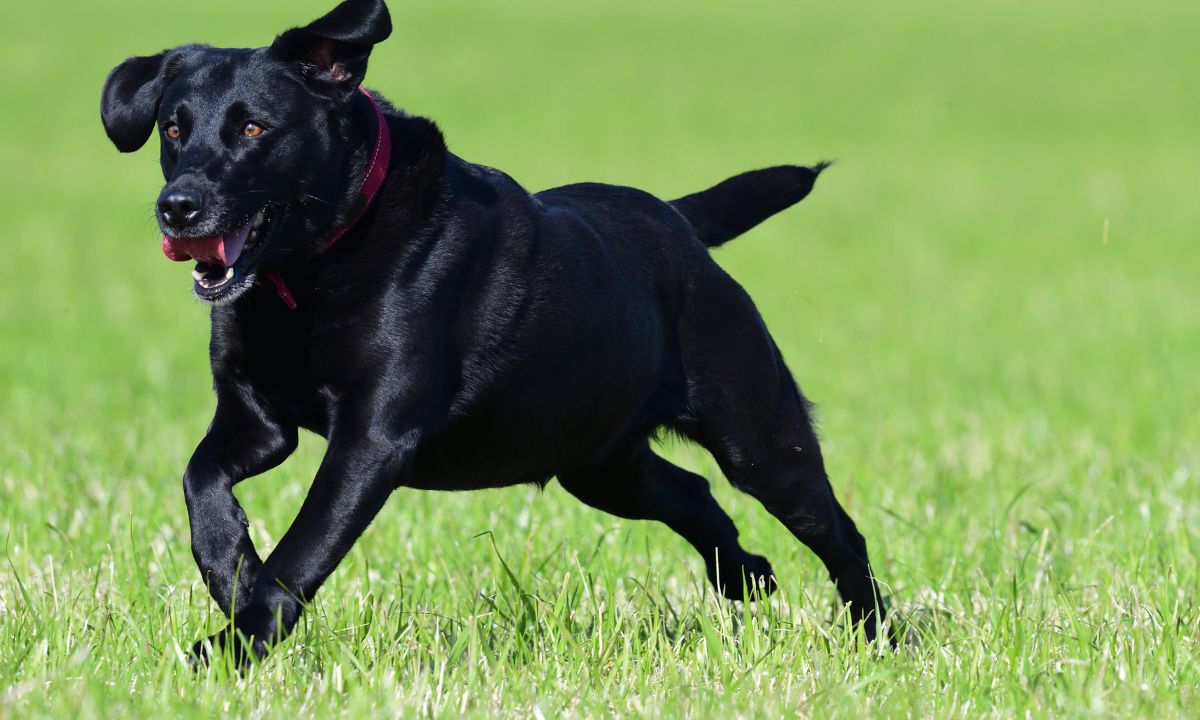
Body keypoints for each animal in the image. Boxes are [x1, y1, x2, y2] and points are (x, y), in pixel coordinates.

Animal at [103, 0, 888, 662]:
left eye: (254, 128)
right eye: (173, 128)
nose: (178, 206)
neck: (309, 275)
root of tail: (679, 220)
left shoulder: (372, 439)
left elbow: (303, 551)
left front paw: (235, 643)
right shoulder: (257, 419)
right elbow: (200, 478)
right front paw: (230, 569)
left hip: (758, 439)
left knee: (837, 531)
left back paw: (878, 637)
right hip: (598, 463)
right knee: (691, 493)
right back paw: (746, 575)